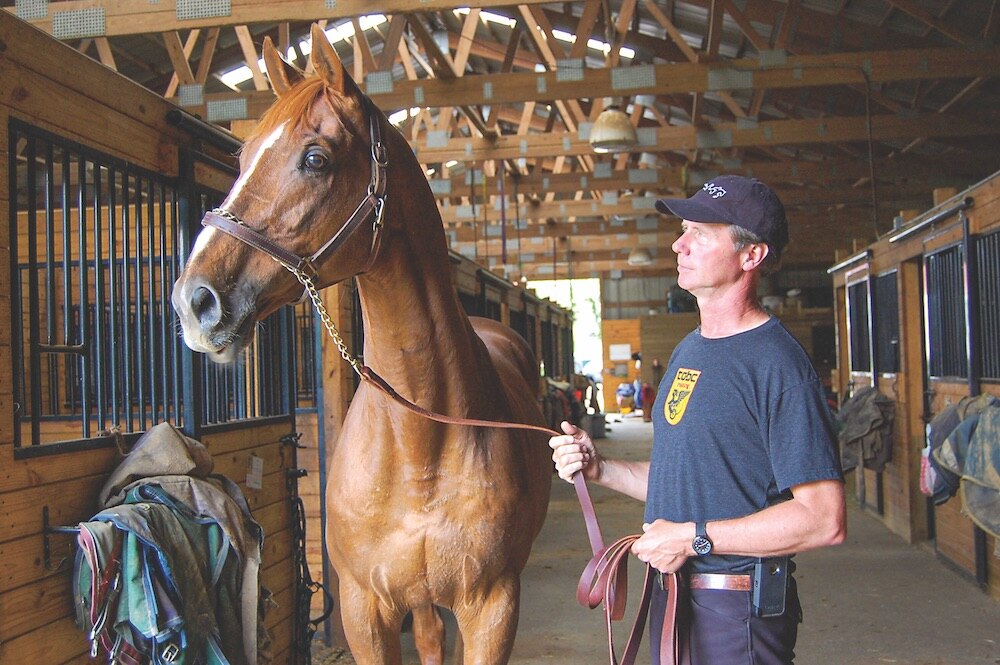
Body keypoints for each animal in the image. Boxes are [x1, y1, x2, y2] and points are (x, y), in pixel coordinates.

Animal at [171, 24, 552, 665]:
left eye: (315, 158)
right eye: (242, 160)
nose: (194, 302)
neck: (421, 444)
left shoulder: (493, 608)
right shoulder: (363, 610)